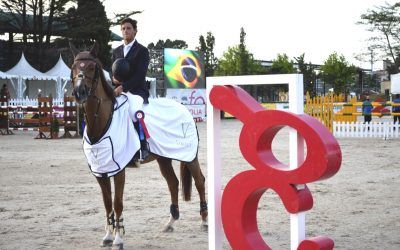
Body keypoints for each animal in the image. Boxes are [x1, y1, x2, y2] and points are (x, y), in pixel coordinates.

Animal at [69, 42, 206, 247]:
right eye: (74, 67)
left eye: (92, 67)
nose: (79, 92)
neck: (103, 120)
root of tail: (184, 109)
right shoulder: (100, 170)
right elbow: (107, 203)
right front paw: (108, 236)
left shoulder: (118, 169)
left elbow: (117, 202)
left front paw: (118, 238)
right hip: (163, 158)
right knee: (173, 183)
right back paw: (170, 222)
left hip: (189, 157)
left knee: (199, 181)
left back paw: (204, 221)